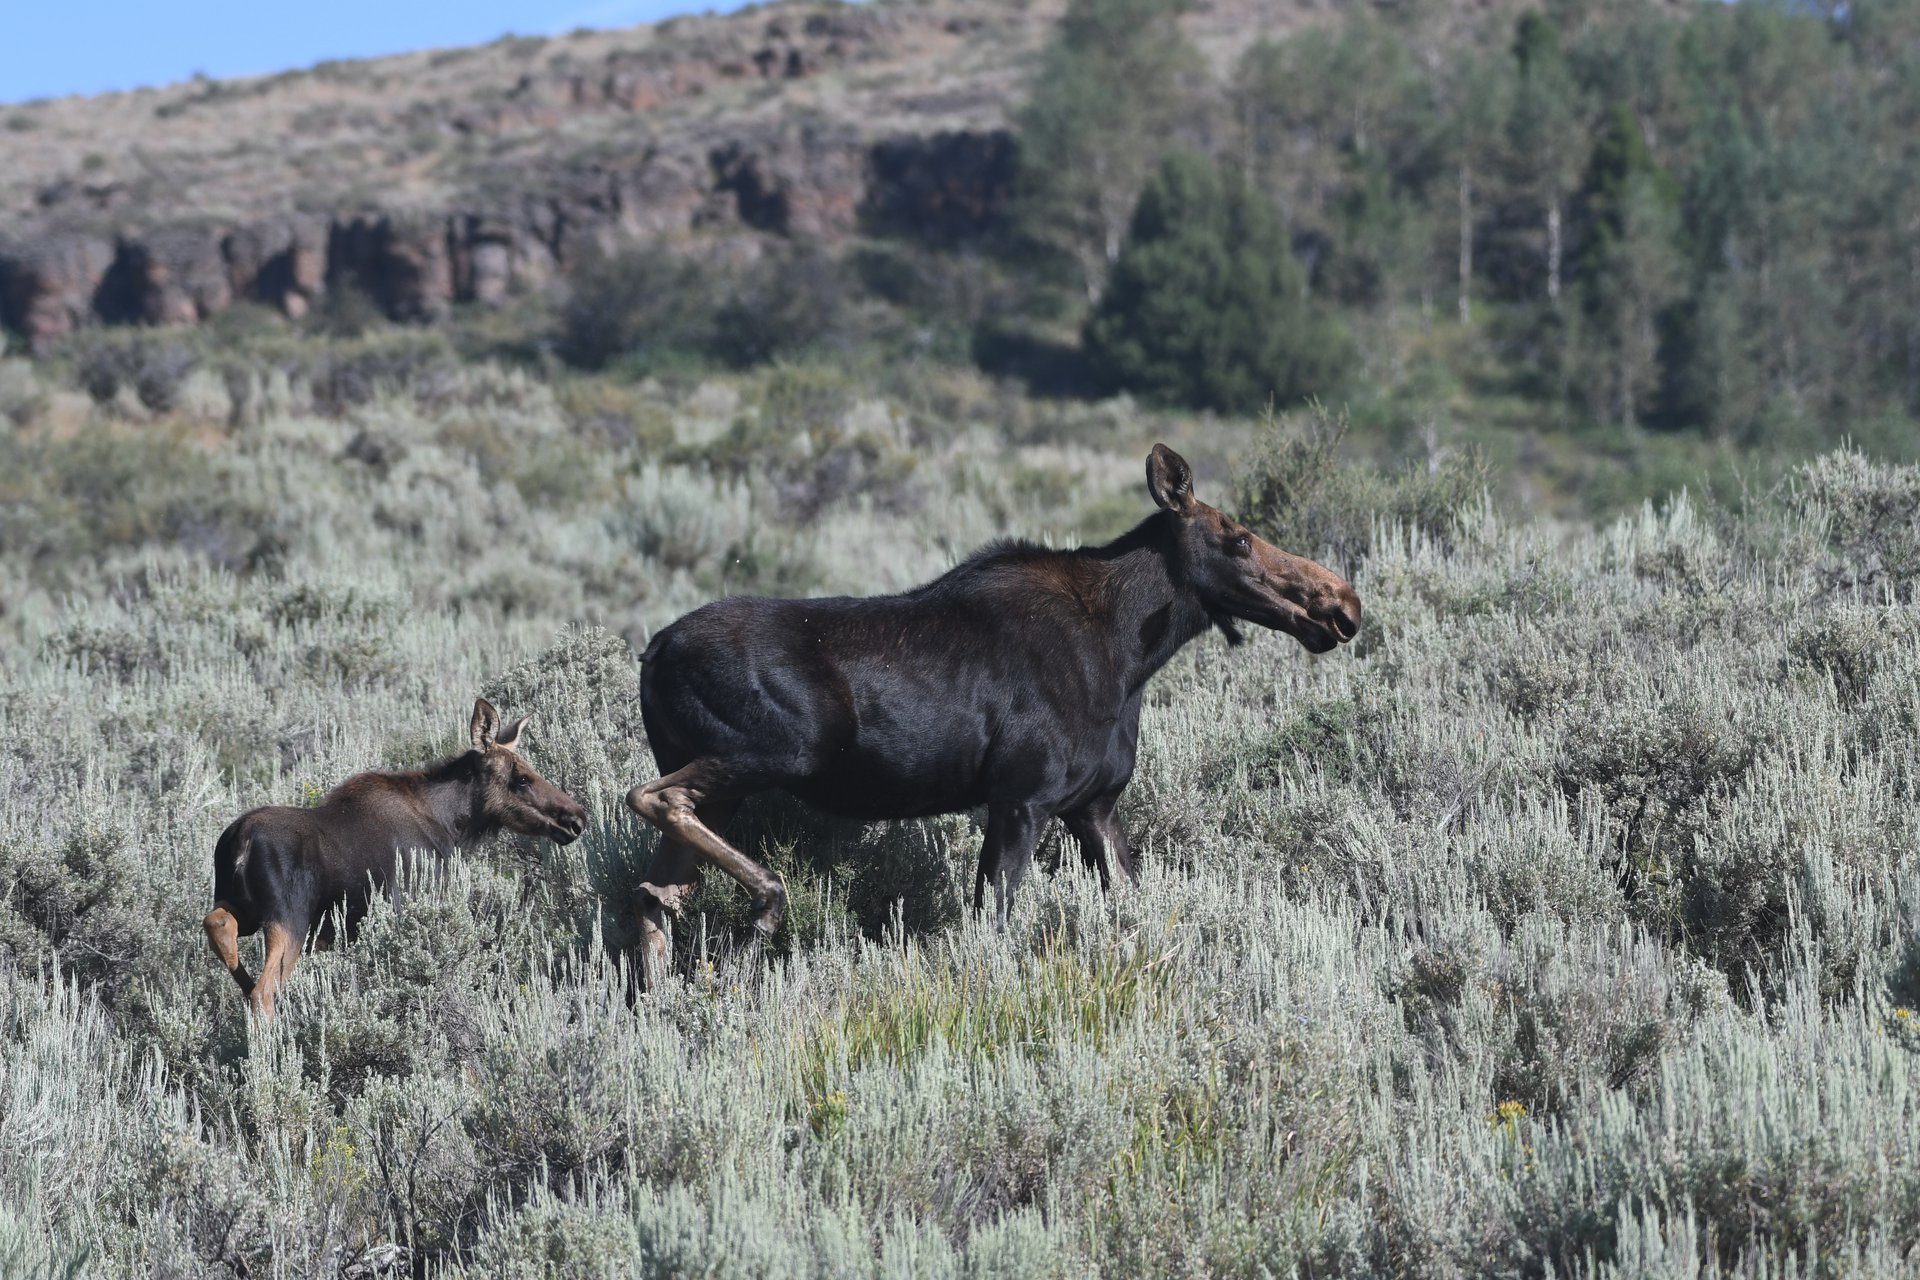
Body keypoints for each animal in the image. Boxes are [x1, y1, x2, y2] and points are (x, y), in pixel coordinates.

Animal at [204, 699, 588, 1016]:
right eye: (522, 778)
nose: (576, 818)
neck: (452, 825)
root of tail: (241, 841)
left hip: (242, 906)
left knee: (219, 926)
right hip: (289, 918)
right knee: (264, 992)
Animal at [624, 444, 1362, 985]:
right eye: (1237, 540)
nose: (1342, 603)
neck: (1130, 655)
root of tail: (652, 652)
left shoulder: (1093, 807)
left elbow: (1133, 906)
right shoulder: (1020, 799)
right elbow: (993, 928)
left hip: (723, 777)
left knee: (651, 893)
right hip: (778, 750)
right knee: (651, 799)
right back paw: (767, 905)